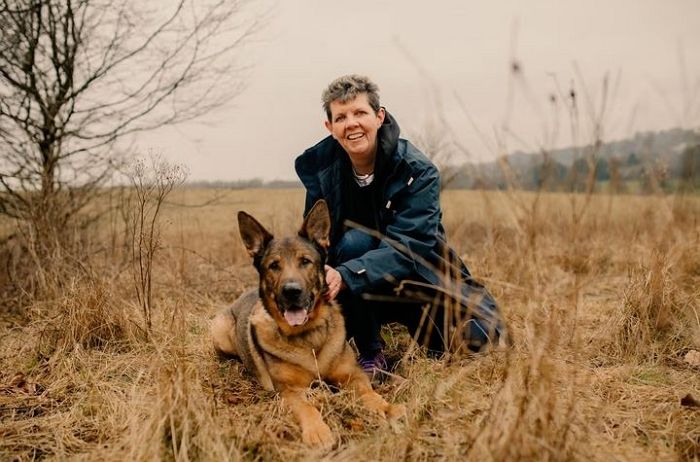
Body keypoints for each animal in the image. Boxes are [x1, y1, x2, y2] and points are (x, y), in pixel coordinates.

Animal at [211, 200, 402, 446]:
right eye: (274, 265)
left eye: (305, 261)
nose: (291, 291)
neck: (309, 337)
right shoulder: (290, 391)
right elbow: (307, 407)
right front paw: (317, 432)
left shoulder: (352, 375)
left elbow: (369, 393)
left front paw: (386, 408)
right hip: (220, 332)